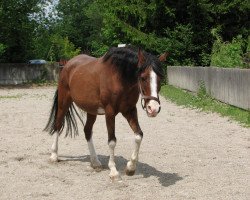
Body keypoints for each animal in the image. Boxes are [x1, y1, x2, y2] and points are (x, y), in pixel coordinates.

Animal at [44, 47, 168, 181]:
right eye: (143, 77)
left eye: (160, 78)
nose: (153, 108)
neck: (120, 77)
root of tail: (68, 64)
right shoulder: (110, 112)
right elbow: (112, 141)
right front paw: (113, 171)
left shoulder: (129, 110)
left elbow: (139, 135)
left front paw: (130, 168)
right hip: (64, 102)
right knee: (58, 125)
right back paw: (54, 155)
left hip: (91, 110)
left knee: (87, 131)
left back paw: (95, 162)